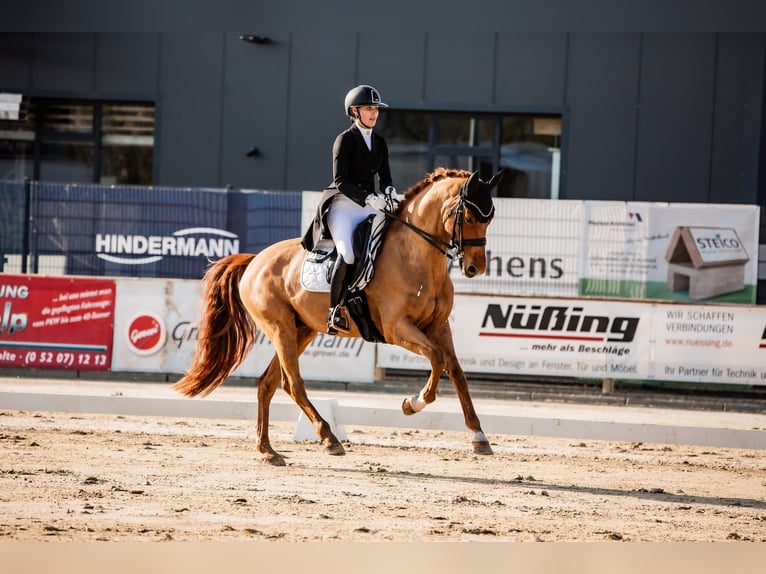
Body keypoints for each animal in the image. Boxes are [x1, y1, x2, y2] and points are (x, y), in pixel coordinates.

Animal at [173, 167, 505, 466]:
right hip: (279, 327)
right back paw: (328, 438)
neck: (416, 258)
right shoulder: (396, 328)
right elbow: (436, 358)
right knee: (292, 383)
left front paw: (479, 437)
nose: (475, 268)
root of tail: (255, 260)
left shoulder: (438, 326)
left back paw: (267, 450)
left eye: (490, 219)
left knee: (268, 383)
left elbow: (456, 371)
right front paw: (412, 404)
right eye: (470, 217)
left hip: (302, 329)